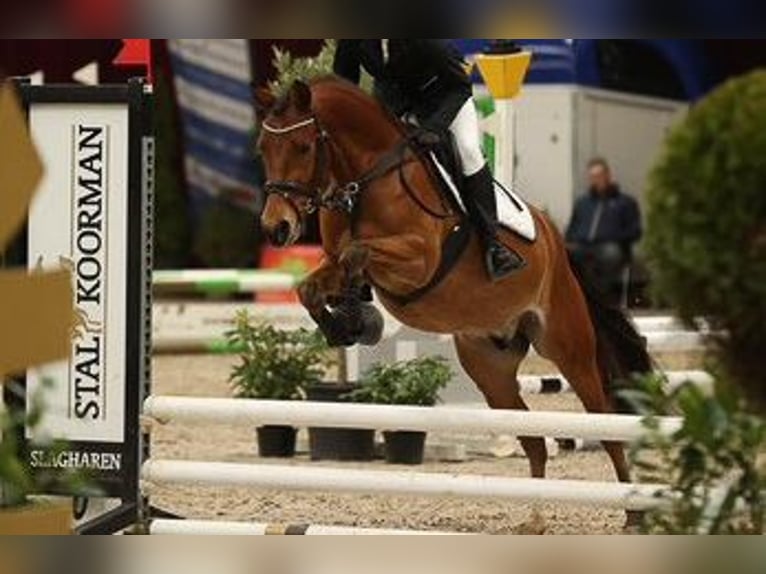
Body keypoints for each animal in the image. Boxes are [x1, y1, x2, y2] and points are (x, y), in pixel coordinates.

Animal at [256, 78, 652, 529]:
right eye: (262, 149)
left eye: (304, 147)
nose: (276, 228)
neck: (365, 177)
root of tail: (556, 241)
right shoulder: (337, 263)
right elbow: (314, 285)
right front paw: (345, 324)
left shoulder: (420, 259)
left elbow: (357, 253)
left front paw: (357, 317)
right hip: (492, 371)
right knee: (533, 439)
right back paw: (535, 518)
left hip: (569, 349)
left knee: (606, 422)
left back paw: (633, 514)